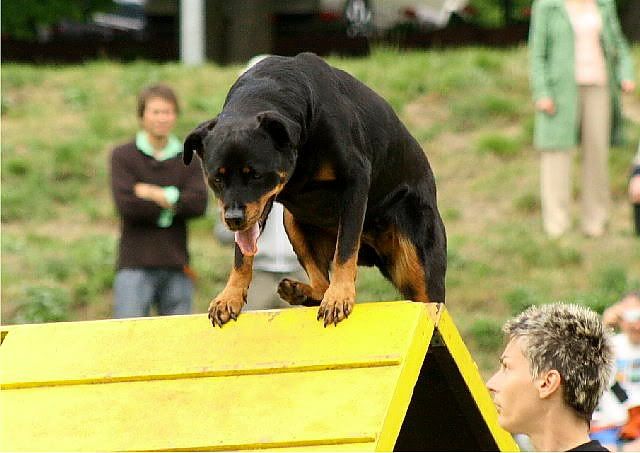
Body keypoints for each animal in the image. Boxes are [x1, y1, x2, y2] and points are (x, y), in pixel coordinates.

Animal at [184, 52, 446, 327]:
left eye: (255, 174)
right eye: (217, 178)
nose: (233, 218)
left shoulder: (355, 180)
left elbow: (346, 248)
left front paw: (339, 296)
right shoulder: (255, 209)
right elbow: (241, 253)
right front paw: (230, 296)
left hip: (418, 257)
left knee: (429, 299)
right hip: (292, 222)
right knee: (320, 284)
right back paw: (298, 290)